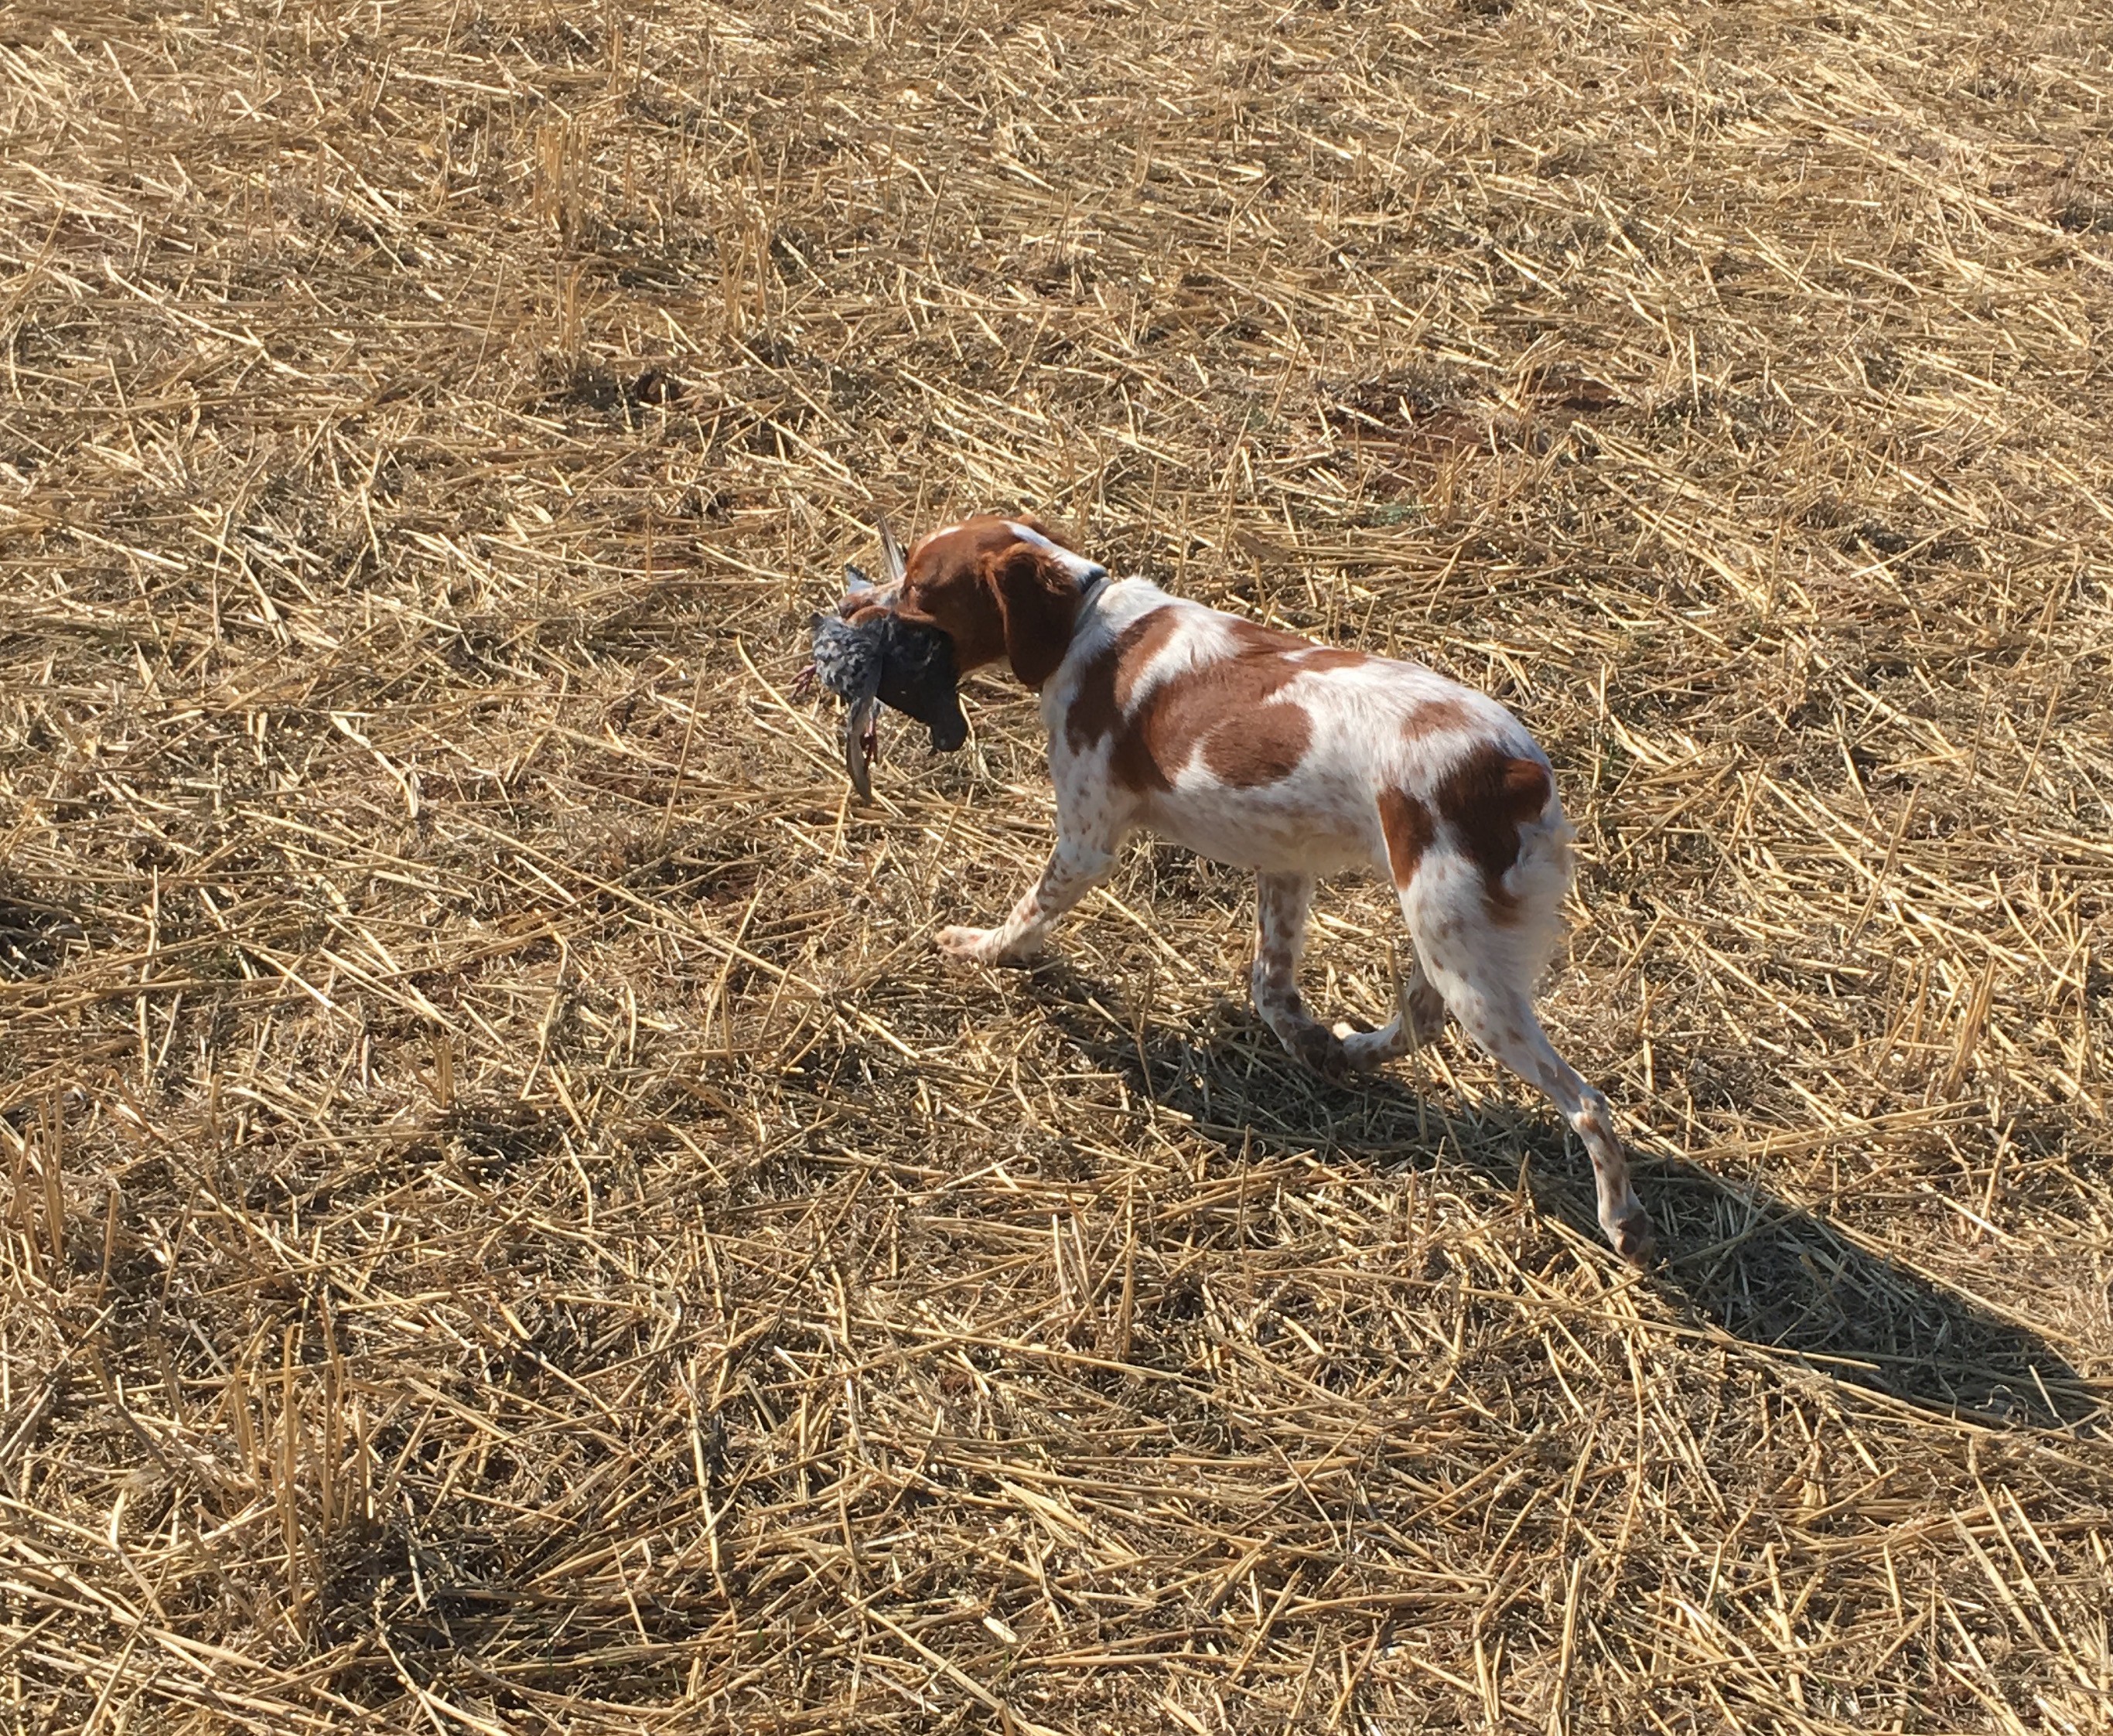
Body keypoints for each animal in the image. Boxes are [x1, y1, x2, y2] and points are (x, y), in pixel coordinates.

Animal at [841, 517, 1647, 1267]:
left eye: (919, 589)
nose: (851, 608)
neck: (1081, 621)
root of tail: (1515, 769)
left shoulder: (1085, 843)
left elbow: (1025, 916)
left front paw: (979, 947)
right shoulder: (1283, 865)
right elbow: (1270, 987)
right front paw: (1308, 1040)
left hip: (1470, 968)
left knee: (1586, 1103)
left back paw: (1622, 1218)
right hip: (1447, 937)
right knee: (1418, 1021)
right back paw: (1352, 1052)